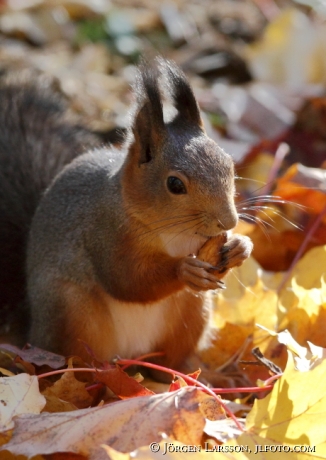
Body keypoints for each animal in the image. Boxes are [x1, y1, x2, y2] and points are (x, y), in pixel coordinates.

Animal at [0, 57, 252, 378]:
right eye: (174, 184)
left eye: (229, 165)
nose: (228, 222)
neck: (176, 234)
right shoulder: (103, 232)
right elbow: (127, 279)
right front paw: (184, 270)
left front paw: (240, 246)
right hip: (71, 311)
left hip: (193, 312)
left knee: (168, 363)